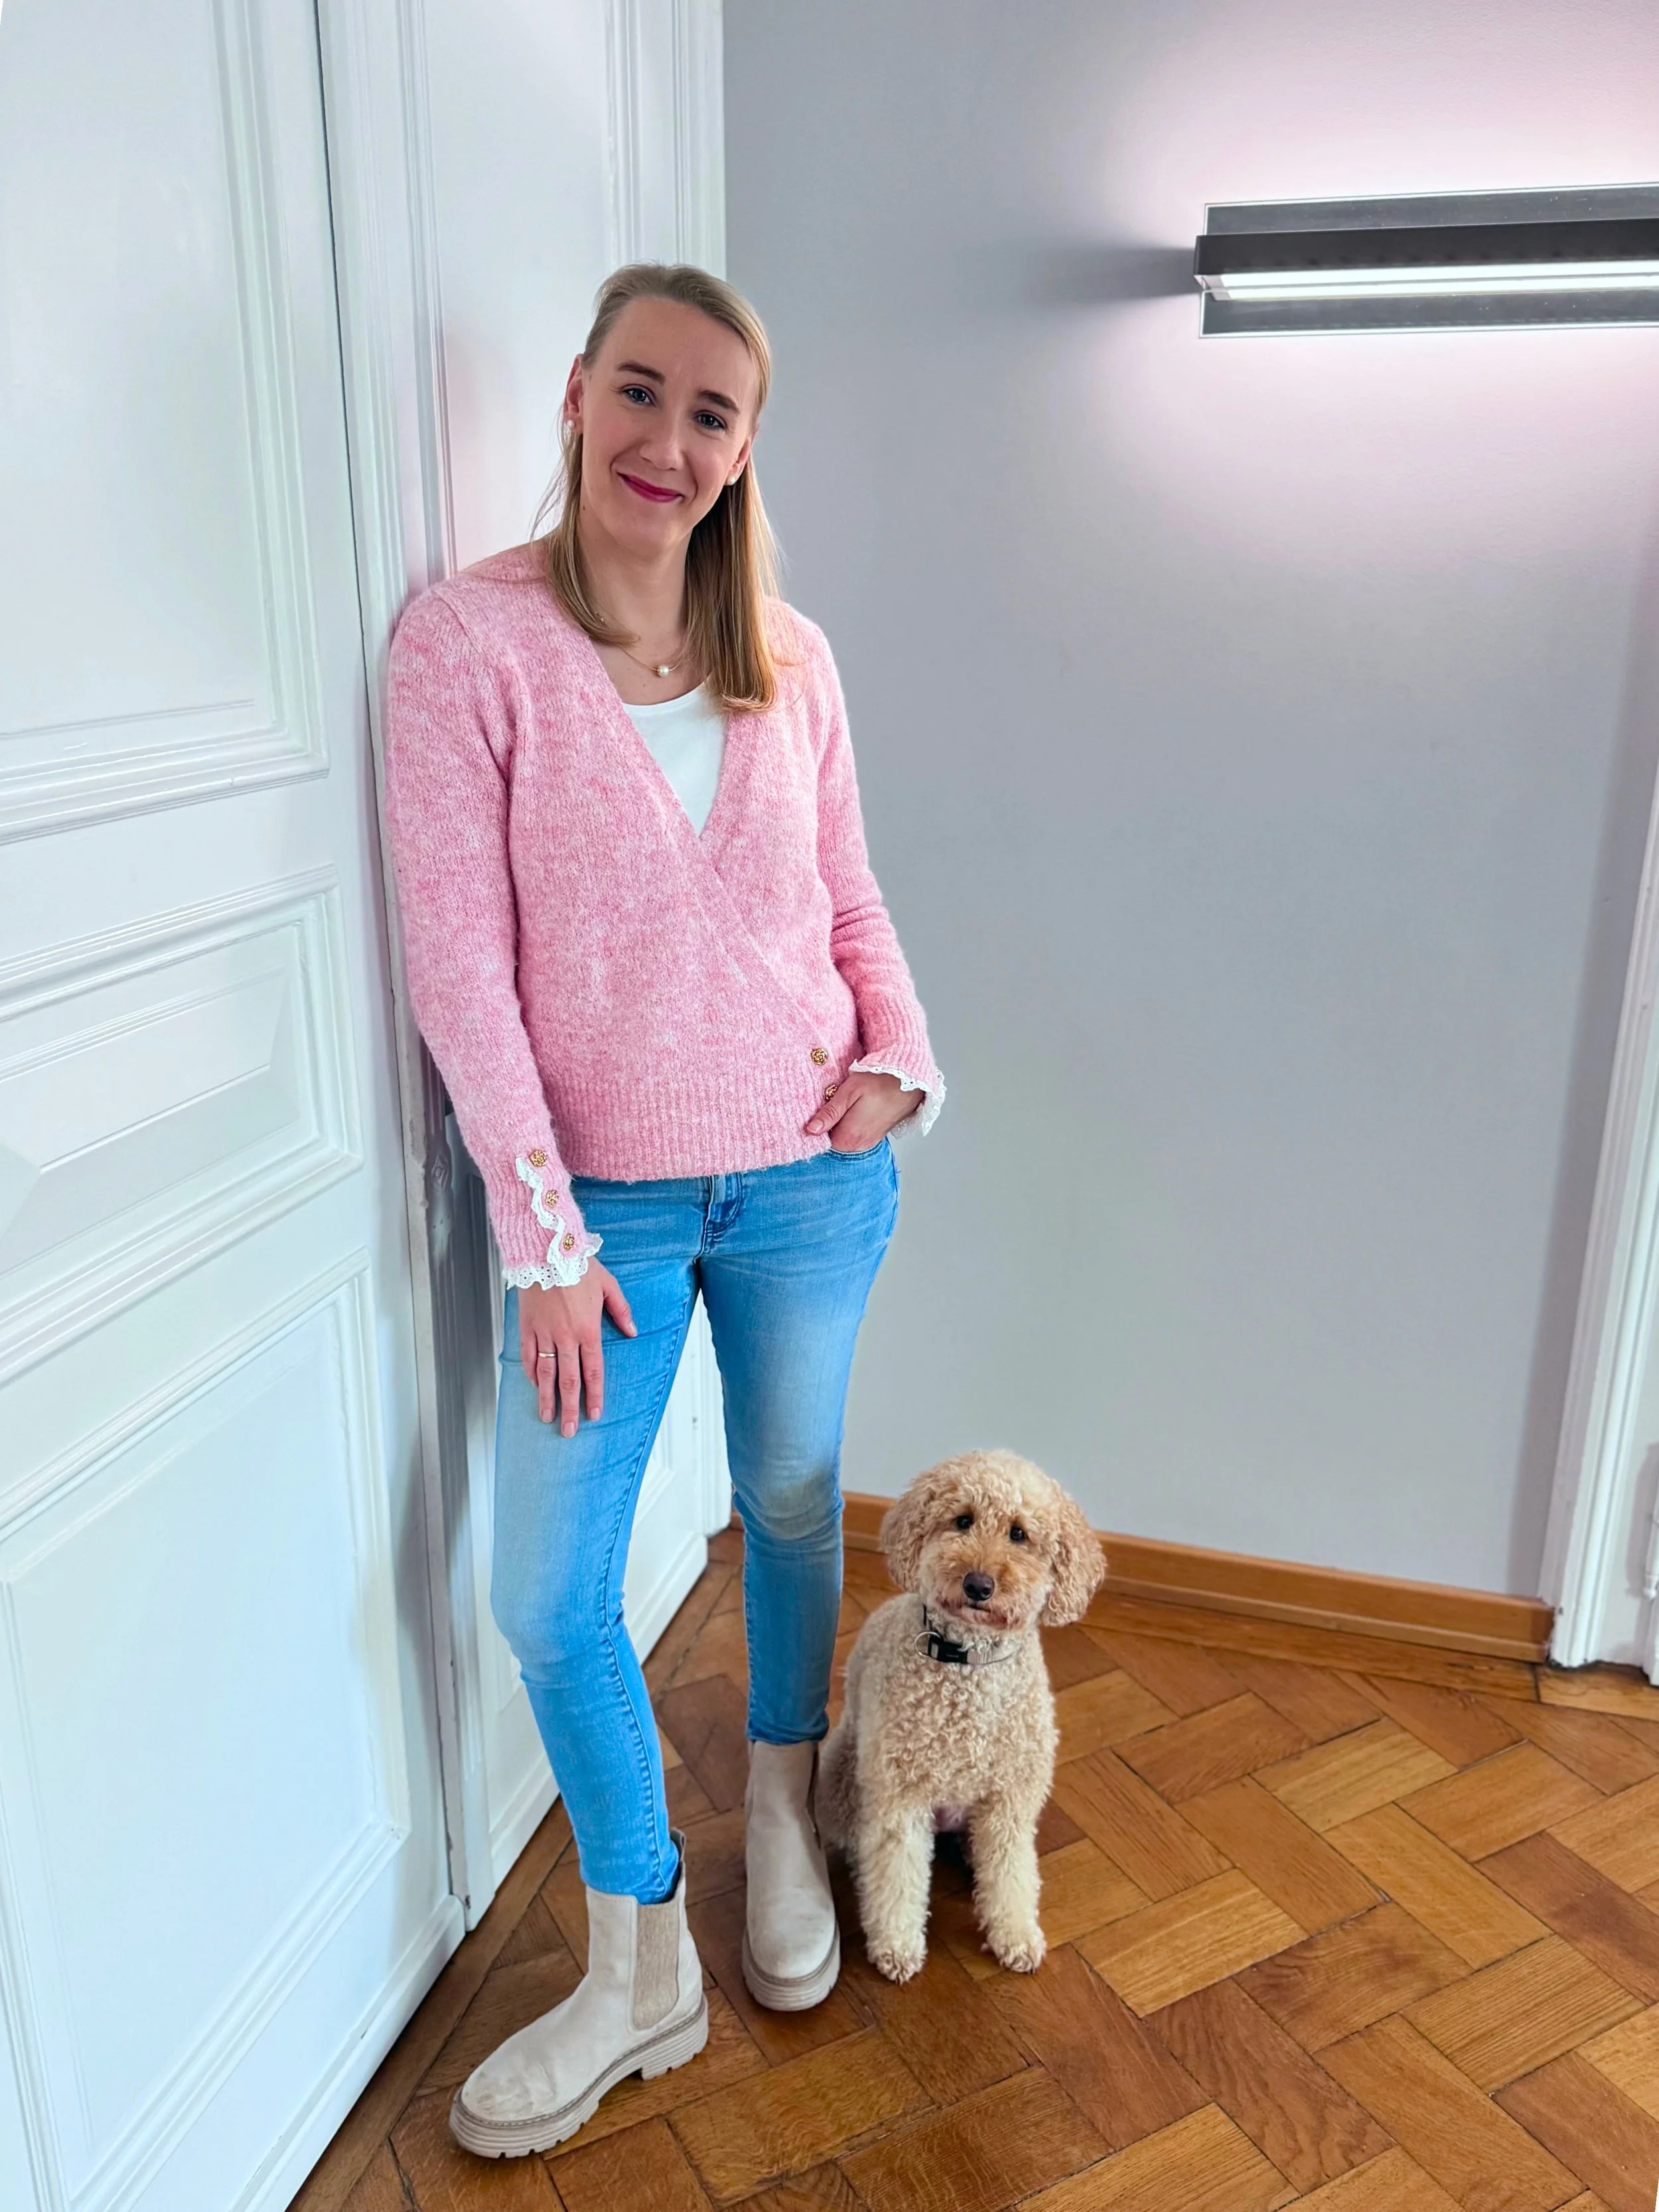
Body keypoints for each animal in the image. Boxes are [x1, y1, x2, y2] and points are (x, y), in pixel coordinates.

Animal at [817, 1450, 1106, 1982]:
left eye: (1019, 1533)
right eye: (963, 1520)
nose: (978, 1584)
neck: (969, 1663)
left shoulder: (1010, 1800)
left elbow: (1011, 1874)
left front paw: (1015, 1935)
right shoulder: (900, 1799)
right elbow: (897, 1876)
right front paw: (896, 1946)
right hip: (846, 1772)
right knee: (857, 1839)